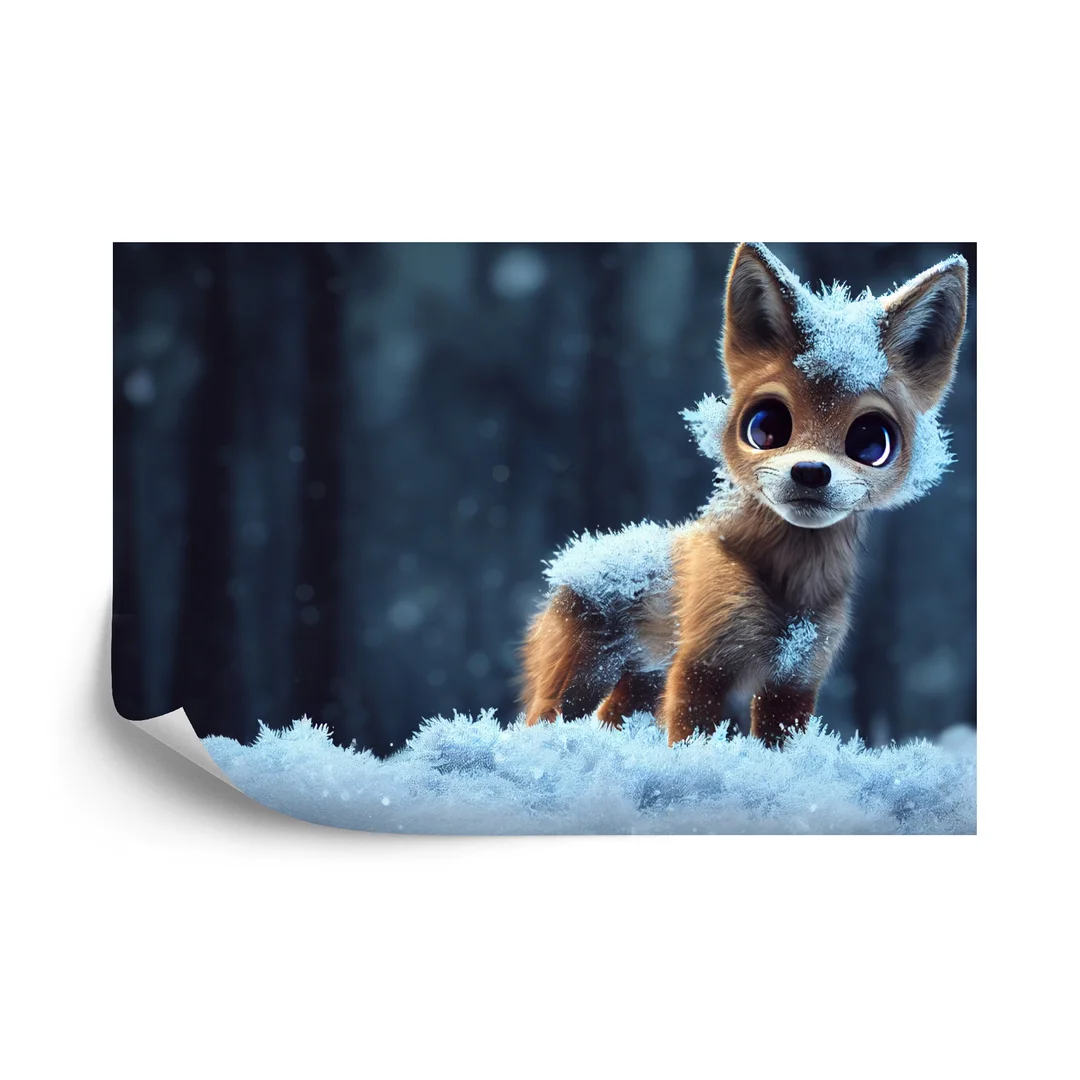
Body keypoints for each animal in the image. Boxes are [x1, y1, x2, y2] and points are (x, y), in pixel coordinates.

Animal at [521, 242, 968, 748]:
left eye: (871, 441)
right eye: (766, 426)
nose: (810, 472)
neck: (792, 591)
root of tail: (578, 556)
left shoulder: (795, 678)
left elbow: (779, 747)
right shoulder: (702, 665)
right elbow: (692, 737)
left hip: (641, 684)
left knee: (608, 719)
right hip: (582, 678)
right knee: (541, 718)